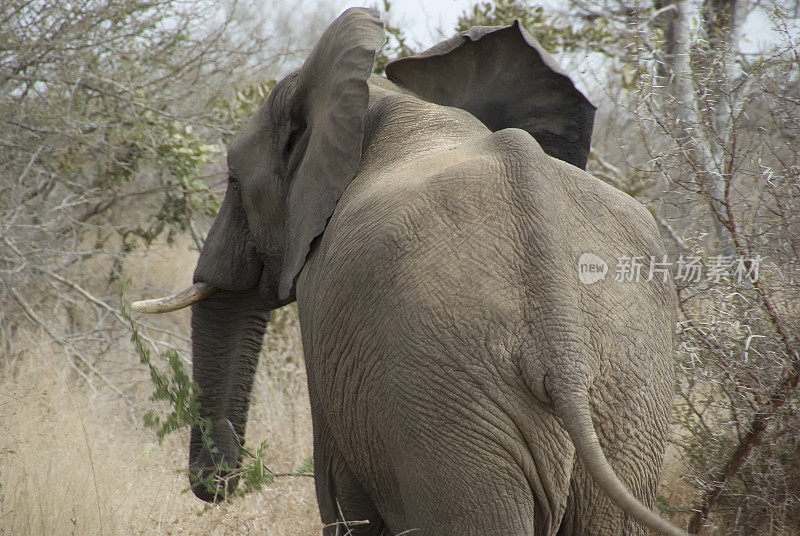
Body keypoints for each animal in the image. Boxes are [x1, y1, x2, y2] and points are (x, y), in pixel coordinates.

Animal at [133, 7, 688, 536]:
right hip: (625, 401)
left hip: (446, 402)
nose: (219, 482)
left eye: (231, 179)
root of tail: (562, 348)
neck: (387, 102)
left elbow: (339, 491)